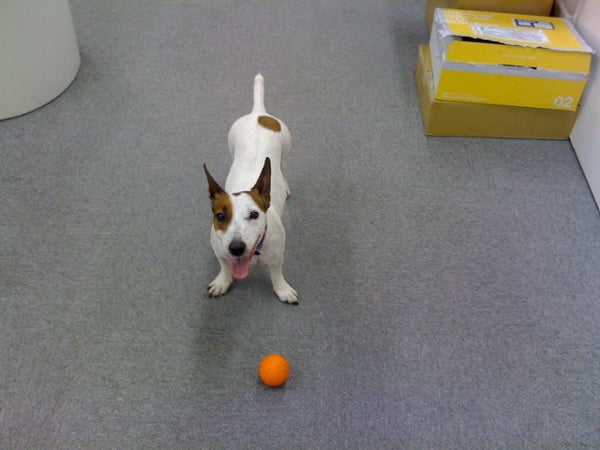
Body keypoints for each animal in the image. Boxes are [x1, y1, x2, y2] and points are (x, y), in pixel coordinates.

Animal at [203, 74, 298, 304]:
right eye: (220, 216)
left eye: (254, 214)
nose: (236, 248)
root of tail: (259, 113)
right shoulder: (220, 252)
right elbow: (225, 267)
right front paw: (222, 281)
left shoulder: (277, 257)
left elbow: (277, 274)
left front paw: (282, 289)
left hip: (285, 155)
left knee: (282, 169)